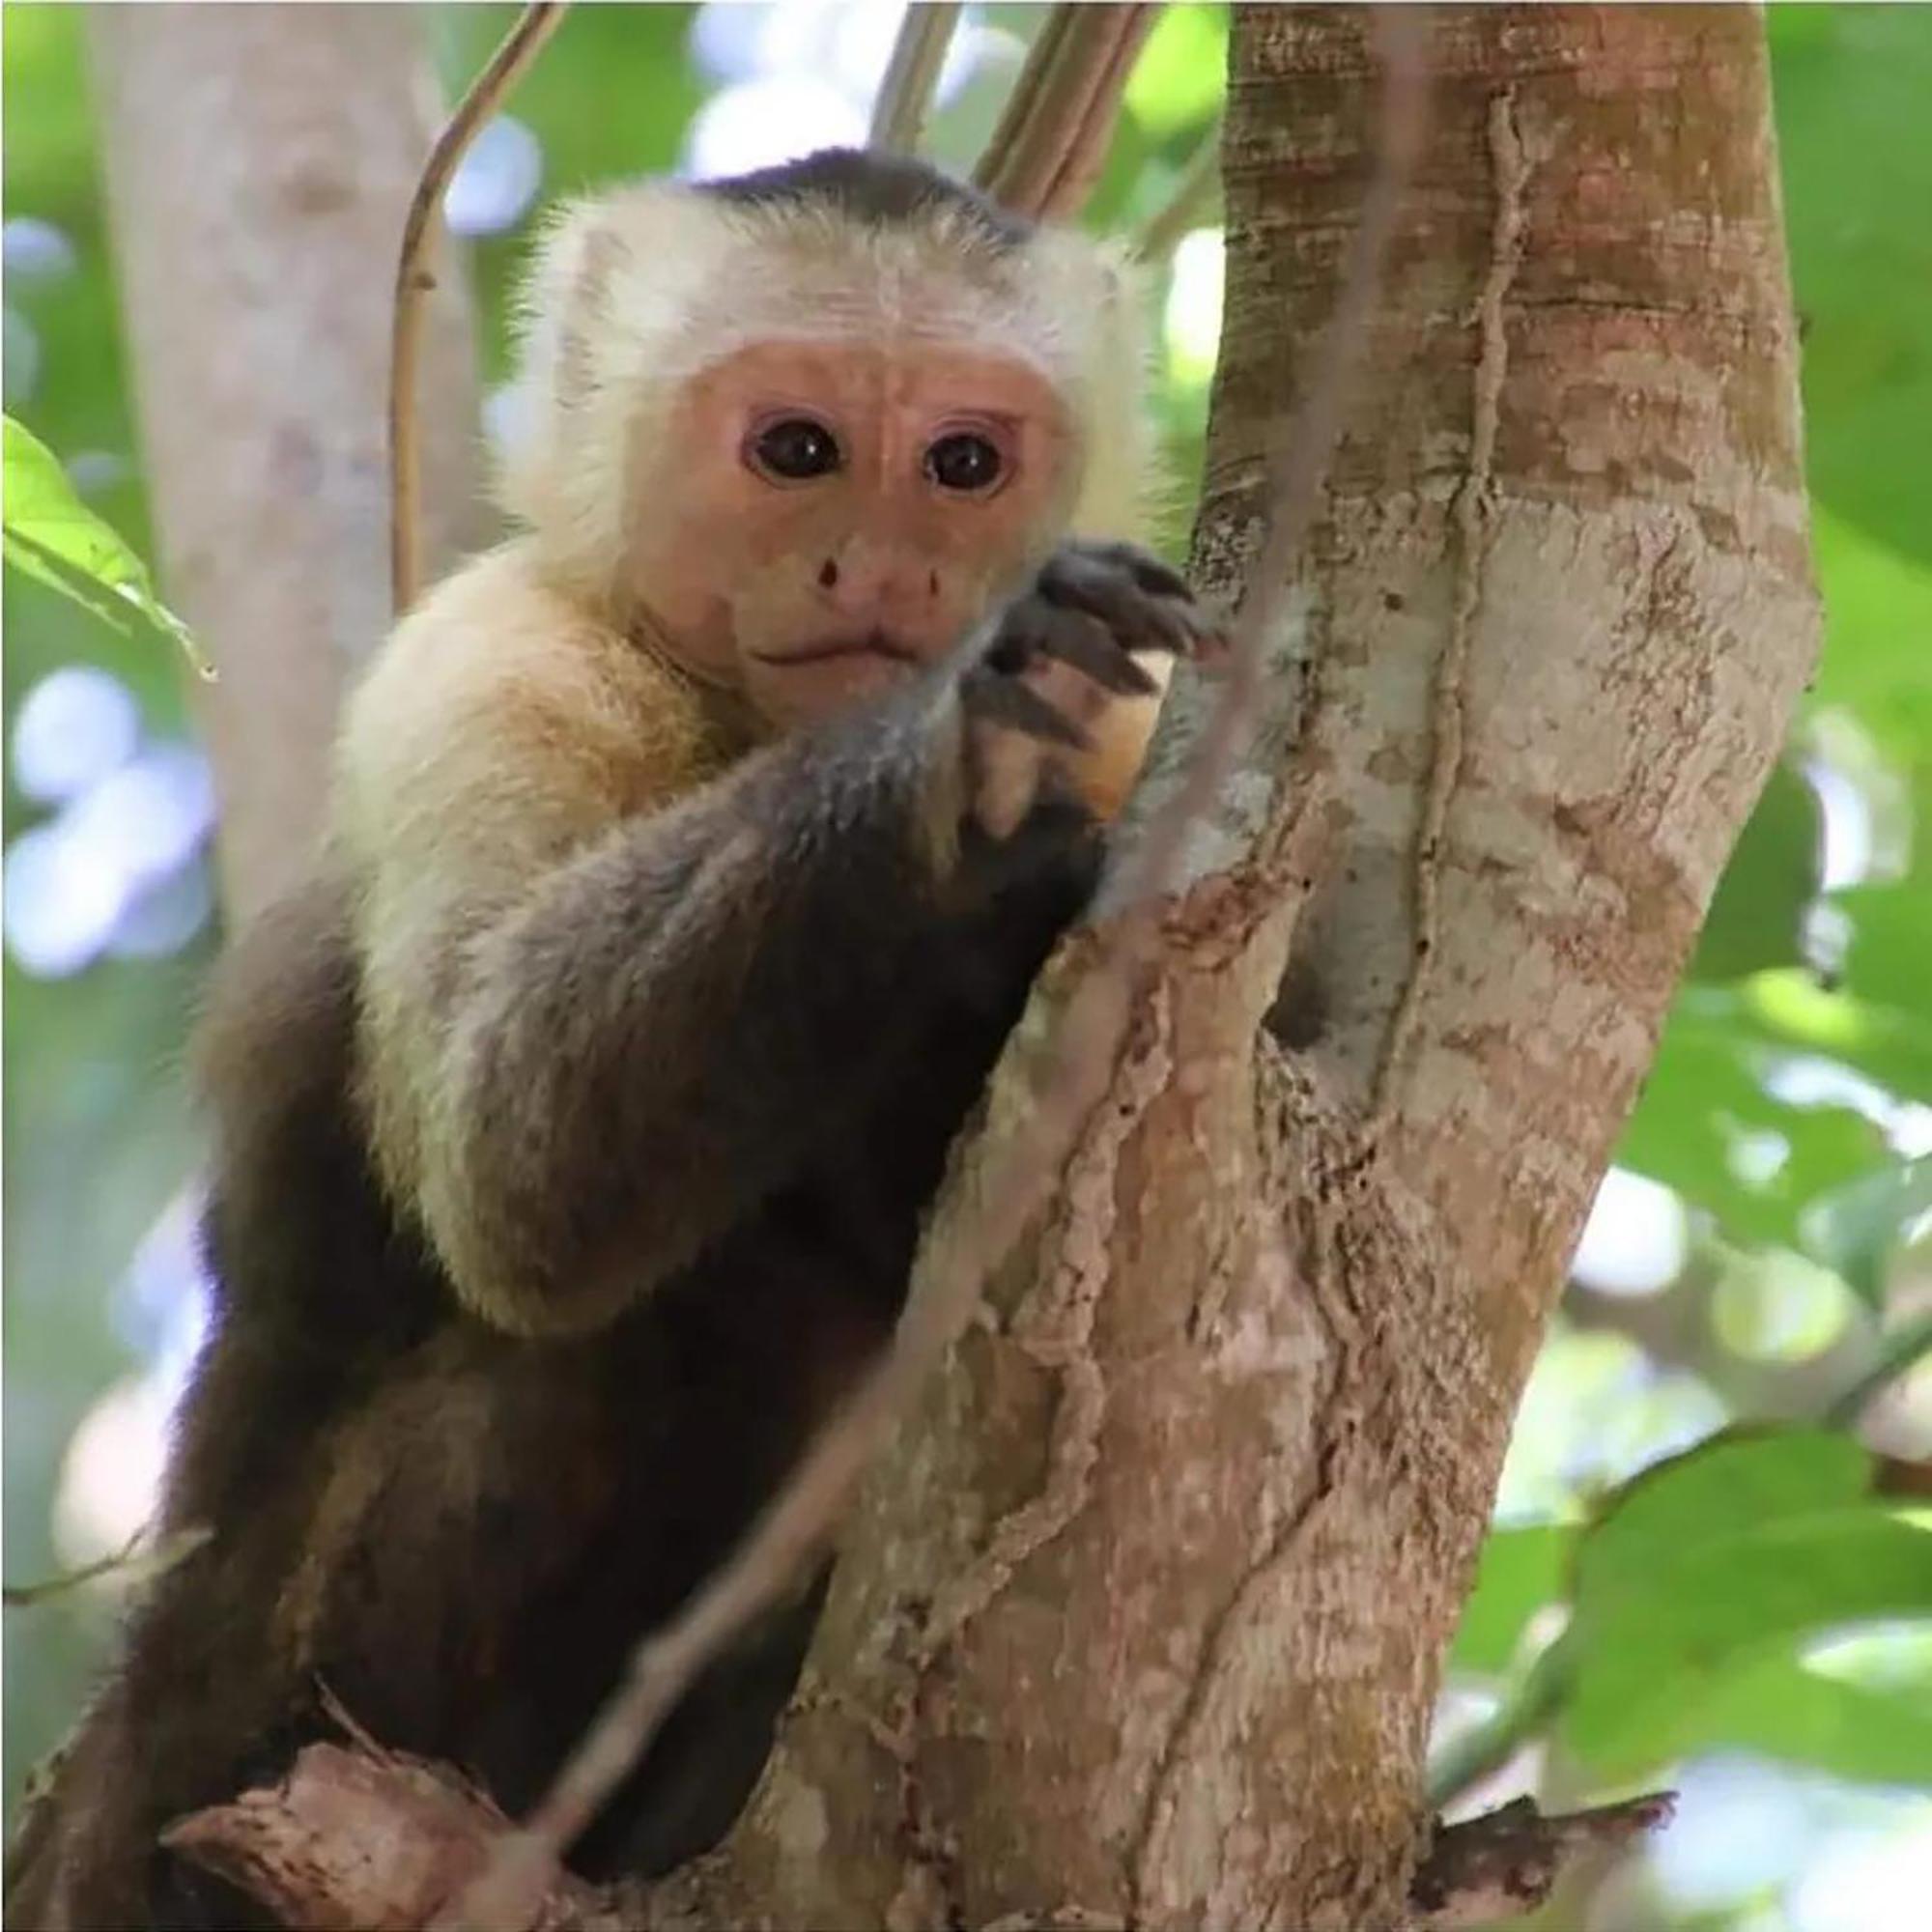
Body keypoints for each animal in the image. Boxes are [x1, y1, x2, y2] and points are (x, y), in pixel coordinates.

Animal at [14, 151, 1213, 1932]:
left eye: (963, 462)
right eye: (797, 450)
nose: (886, 574)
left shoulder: (1143, 737)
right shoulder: (490, 661)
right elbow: (509, 1157)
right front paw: (953, 754)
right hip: (224, 1718)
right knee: (659, 1333)